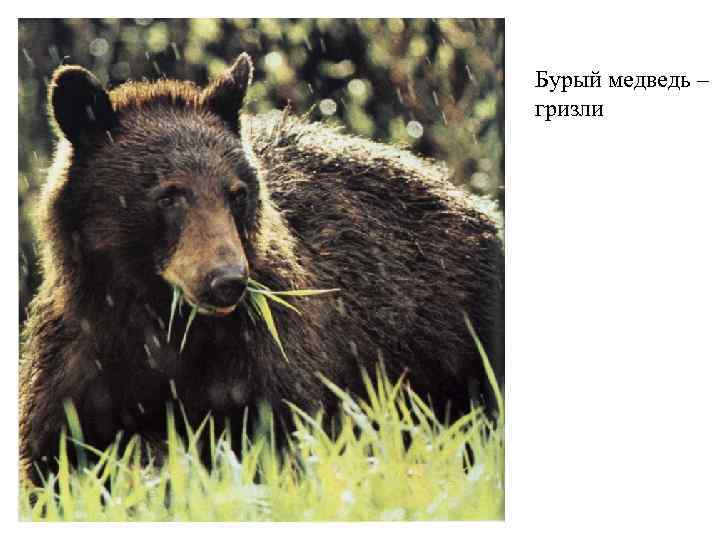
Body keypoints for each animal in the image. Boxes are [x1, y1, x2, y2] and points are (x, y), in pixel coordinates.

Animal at [19, 53, 504, 483]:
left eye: (236, 193)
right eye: (169, 195)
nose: (227, 281)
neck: (159, 319)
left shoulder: (266, 353)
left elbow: (278, 436)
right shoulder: (79, 361)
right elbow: (56, 456)